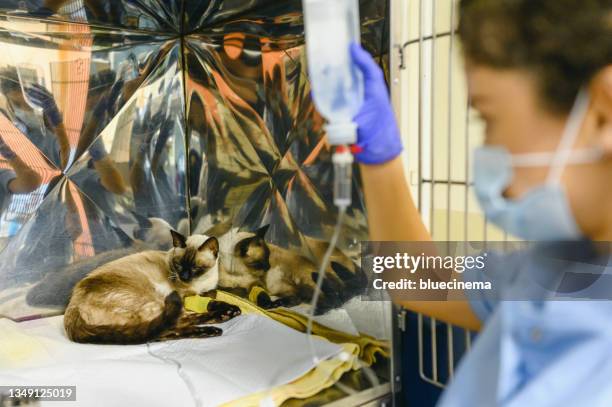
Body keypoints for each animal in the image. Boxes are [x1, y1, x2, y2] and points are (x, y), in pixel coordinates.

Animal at [63, 230, 240, 344]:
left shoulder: (209, 290)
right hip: (156, 302)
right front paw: (229, 308)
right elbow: (207, 305)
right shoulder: (185, 296)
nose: (184, 277)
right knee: (172, 324)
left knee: (161, 333)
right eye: (178, 265)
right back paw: (218, 323)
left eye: (196, 268)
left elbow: (212, 297)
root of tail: (72, 309)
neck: (202, 281)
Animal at [218, 225, 366, 314]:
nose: (269, 267)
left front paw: (266, 304)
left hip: (305, 278)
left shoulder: (257, 284)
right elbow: (232, 291)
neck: (236, 273)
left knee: (333, 297)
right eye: (261, 262)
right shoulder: (231, 287)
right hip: (283, 285)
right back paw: (280, 303)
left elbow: (259, 295)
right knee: (299, 296)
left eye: (268, 258)